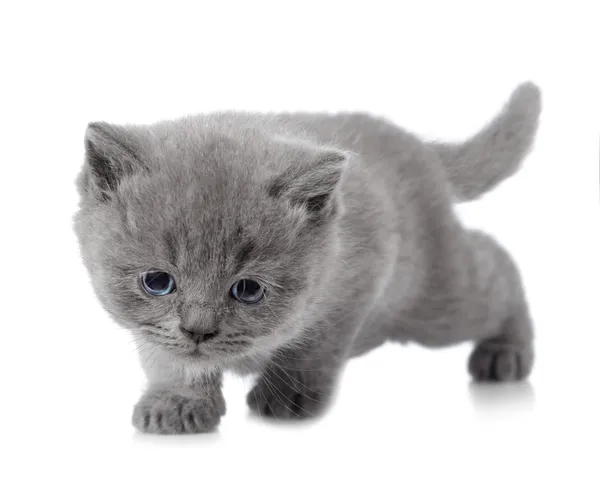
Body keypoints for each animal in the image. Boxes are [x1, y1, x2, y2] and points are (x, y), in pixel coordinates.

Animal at [74, 83, 540, 436]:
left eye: (248, 289)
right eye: (157, 281)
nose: (198, 331)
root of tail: (415, 144)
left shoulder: (357, 280)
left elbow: (313, 344)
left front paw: (286, 397)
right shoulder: (154, 331)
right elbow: (168, 355)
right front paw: (177, 402)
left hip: (433, 297)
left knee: (496, 265)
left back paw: (505, 354)